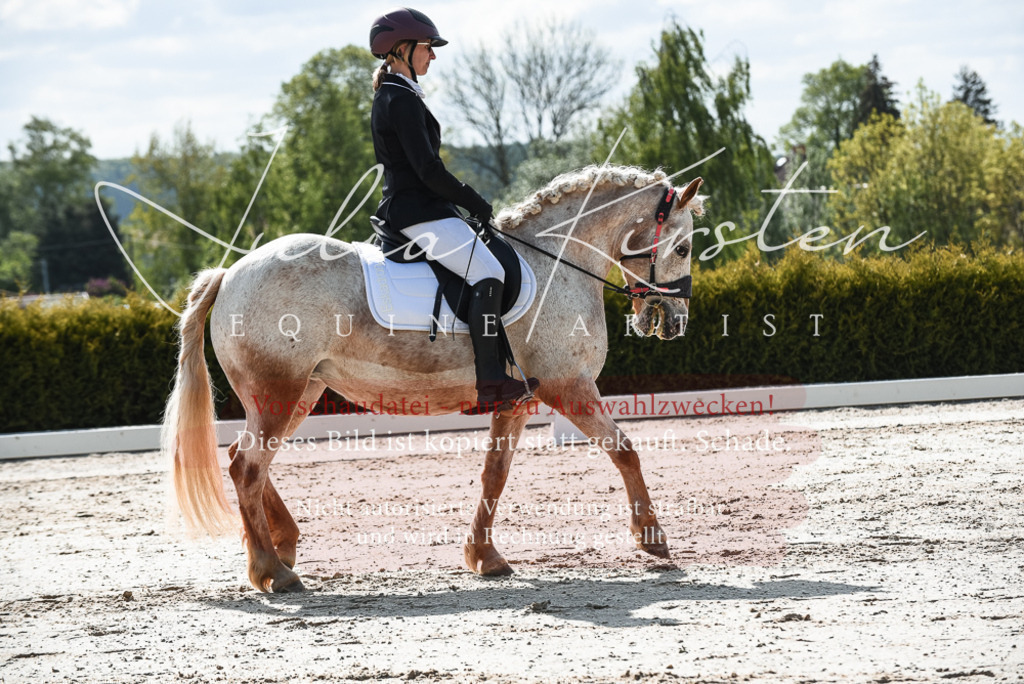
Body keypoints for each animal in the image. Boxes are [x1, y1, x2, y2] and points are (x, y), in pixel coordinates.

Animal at [164, 165, 704, 592]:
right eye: (682, 247)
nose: (674, 322)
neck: (557, 261)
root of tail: (229, 274)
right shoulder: (568, 385)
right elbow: (625, 450)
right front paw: (652, 538)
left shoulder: (517, 400)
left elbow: (495, 473)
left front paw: (485, 557)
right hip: (280, 389)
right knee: (247, 468)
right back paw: (273, 571)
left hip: (299, 391)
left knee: (246, 459)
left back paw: (282, 547)